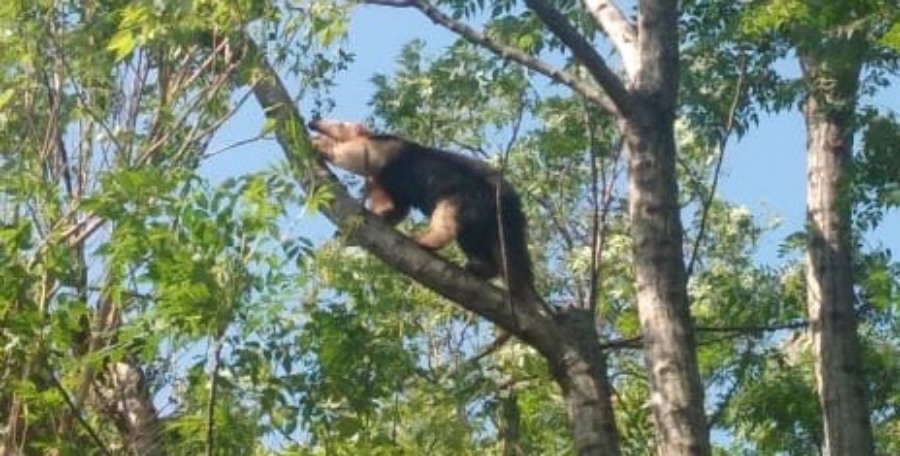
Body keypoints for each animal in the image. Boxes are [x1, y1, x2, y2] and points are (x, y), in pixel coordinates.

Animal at [308, 118, 536, 300]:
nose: (313, 122)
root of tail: (507, 205)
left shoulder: (381, 154)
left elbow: (352, 154)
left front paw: (320, 145)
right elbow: (396, 209)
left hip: (461, 199)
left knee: (447, 222)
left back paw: (424, 241)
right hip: (490, 222)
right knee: (478, 240)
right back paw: (482, 268)